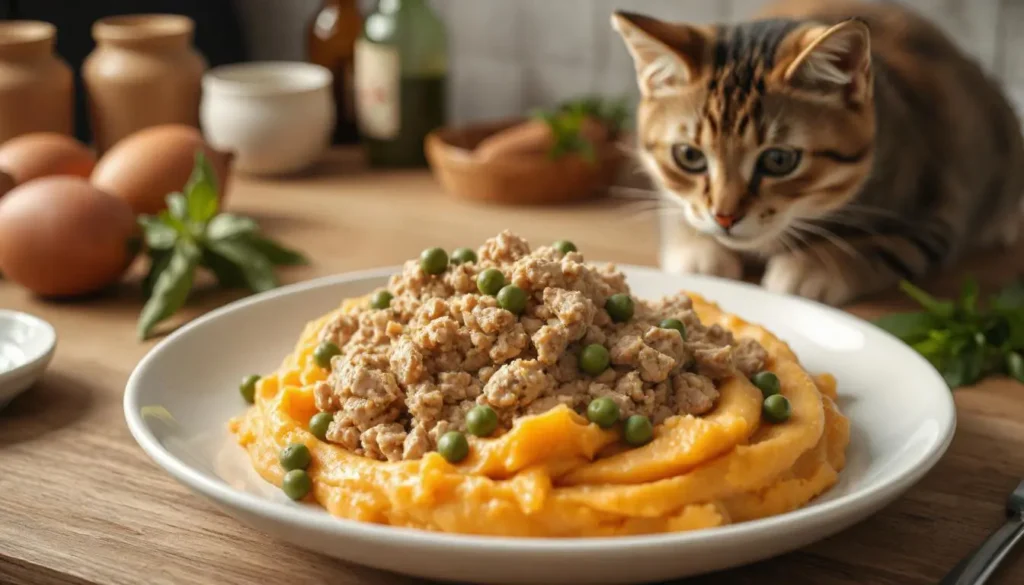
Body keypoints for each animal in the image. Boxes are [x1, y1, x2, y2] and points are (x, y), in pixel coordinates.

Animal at [610, 0, 1024, 305]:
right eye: (689, 156)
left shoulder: (937, 212)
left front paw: (811, 269)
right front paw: (699, 252)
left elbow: (874, 247)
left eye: (779, 160)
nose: (725, 217)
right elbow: (679, 212)